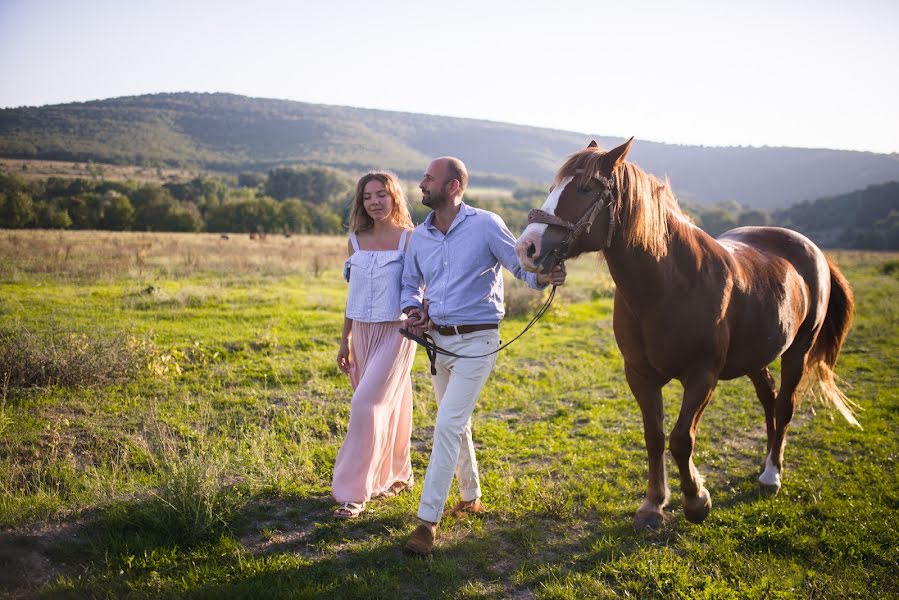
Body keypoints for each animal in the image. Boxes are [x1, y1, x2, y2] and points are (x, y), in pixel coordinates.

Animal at [516, 138, 856, 528]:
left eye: (585, 188)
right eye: (553, 187)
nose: (527, 248)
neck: (669, 284)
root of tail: (810, 249)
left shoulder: (702, 376)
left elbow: (681, 440)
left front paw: (696, 500)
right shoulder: (640, 375)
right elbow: (654, 436)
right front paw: (653, 503)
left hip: (798, 350)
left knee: (785, 405)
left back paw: (772, 474)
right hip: (757, 357)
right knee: (769, 399)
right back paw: (766, 464)